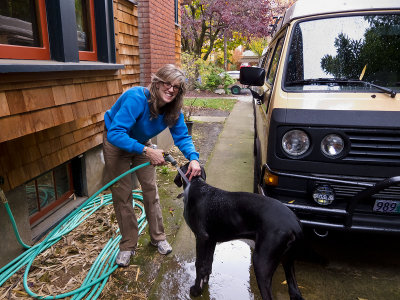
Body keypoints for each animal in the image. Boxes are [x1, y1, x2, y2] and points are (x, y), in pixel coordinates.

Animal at [173, 164, 304, 300]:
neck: (195, 184)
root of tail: (295, 224)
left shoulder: (201, 237)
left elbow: (199, 264)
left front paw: (196, 290)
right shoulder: (211, 239)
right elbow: (207, 264)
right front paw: (204, 283)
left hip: (261, 262)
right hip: (287, 259)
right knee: (294, 291)